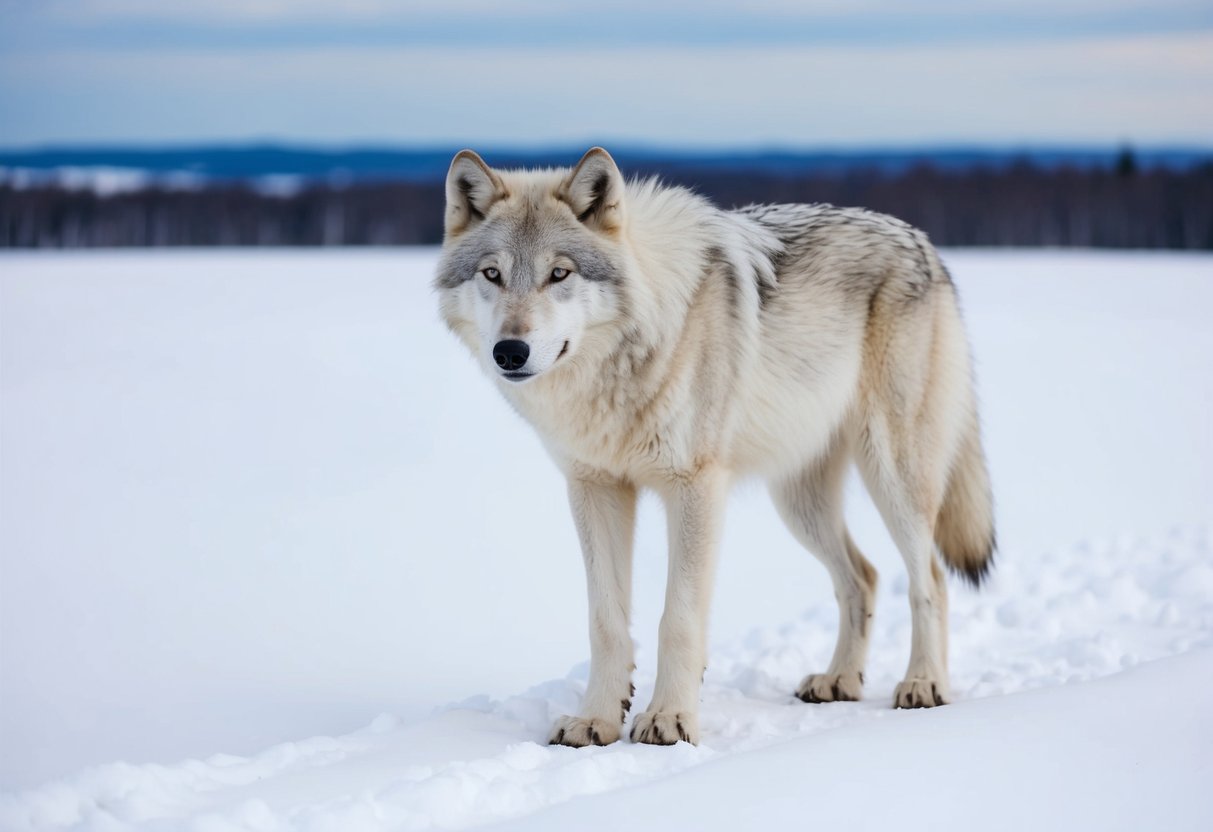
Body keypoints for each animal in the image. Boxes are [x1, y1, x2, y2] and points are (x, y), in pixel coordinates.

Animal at [434, 147, 995, 747]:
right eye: (492, 274)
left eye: (559, 273)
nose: (510, 351)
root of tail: (924, 242)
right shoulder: (595, 488)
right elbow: (605, 621)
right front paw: (596, 720)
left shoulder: (695, 488)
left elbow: (677, 619)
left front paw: (669, 719)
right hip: (799, 504)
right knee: (863, 577)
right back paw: (839, 680)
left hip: (892, 478)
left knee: (929, 578)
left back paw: (924, 684)